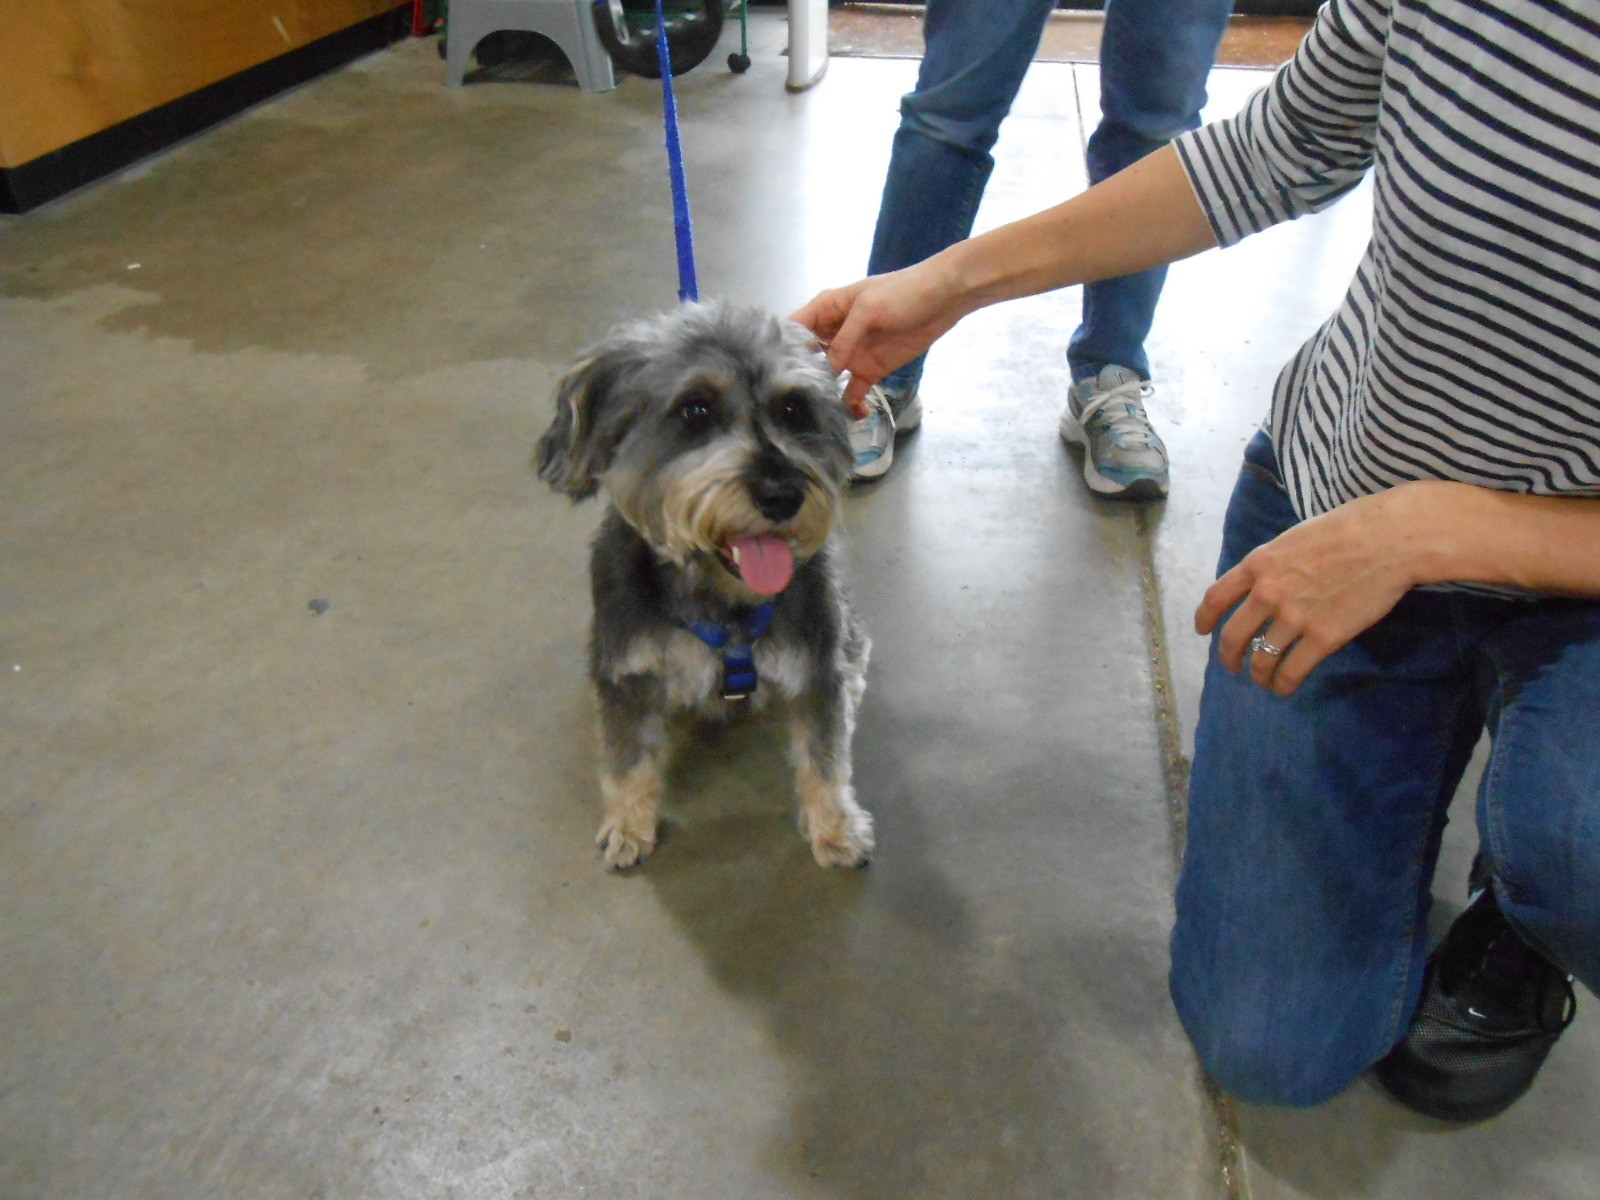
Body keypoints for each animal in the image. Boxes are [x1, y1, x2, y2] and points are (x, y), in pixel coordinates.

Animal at [534, 301, 874, 870]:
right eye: (695, 410)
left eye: (793, 408)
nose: (782, 494)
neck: (721, 599)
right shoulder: (627, 675)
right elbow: (628, 760)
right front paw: (628, 823)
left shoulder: (816, 665)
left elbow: (825, 756)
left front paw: (835, 827)